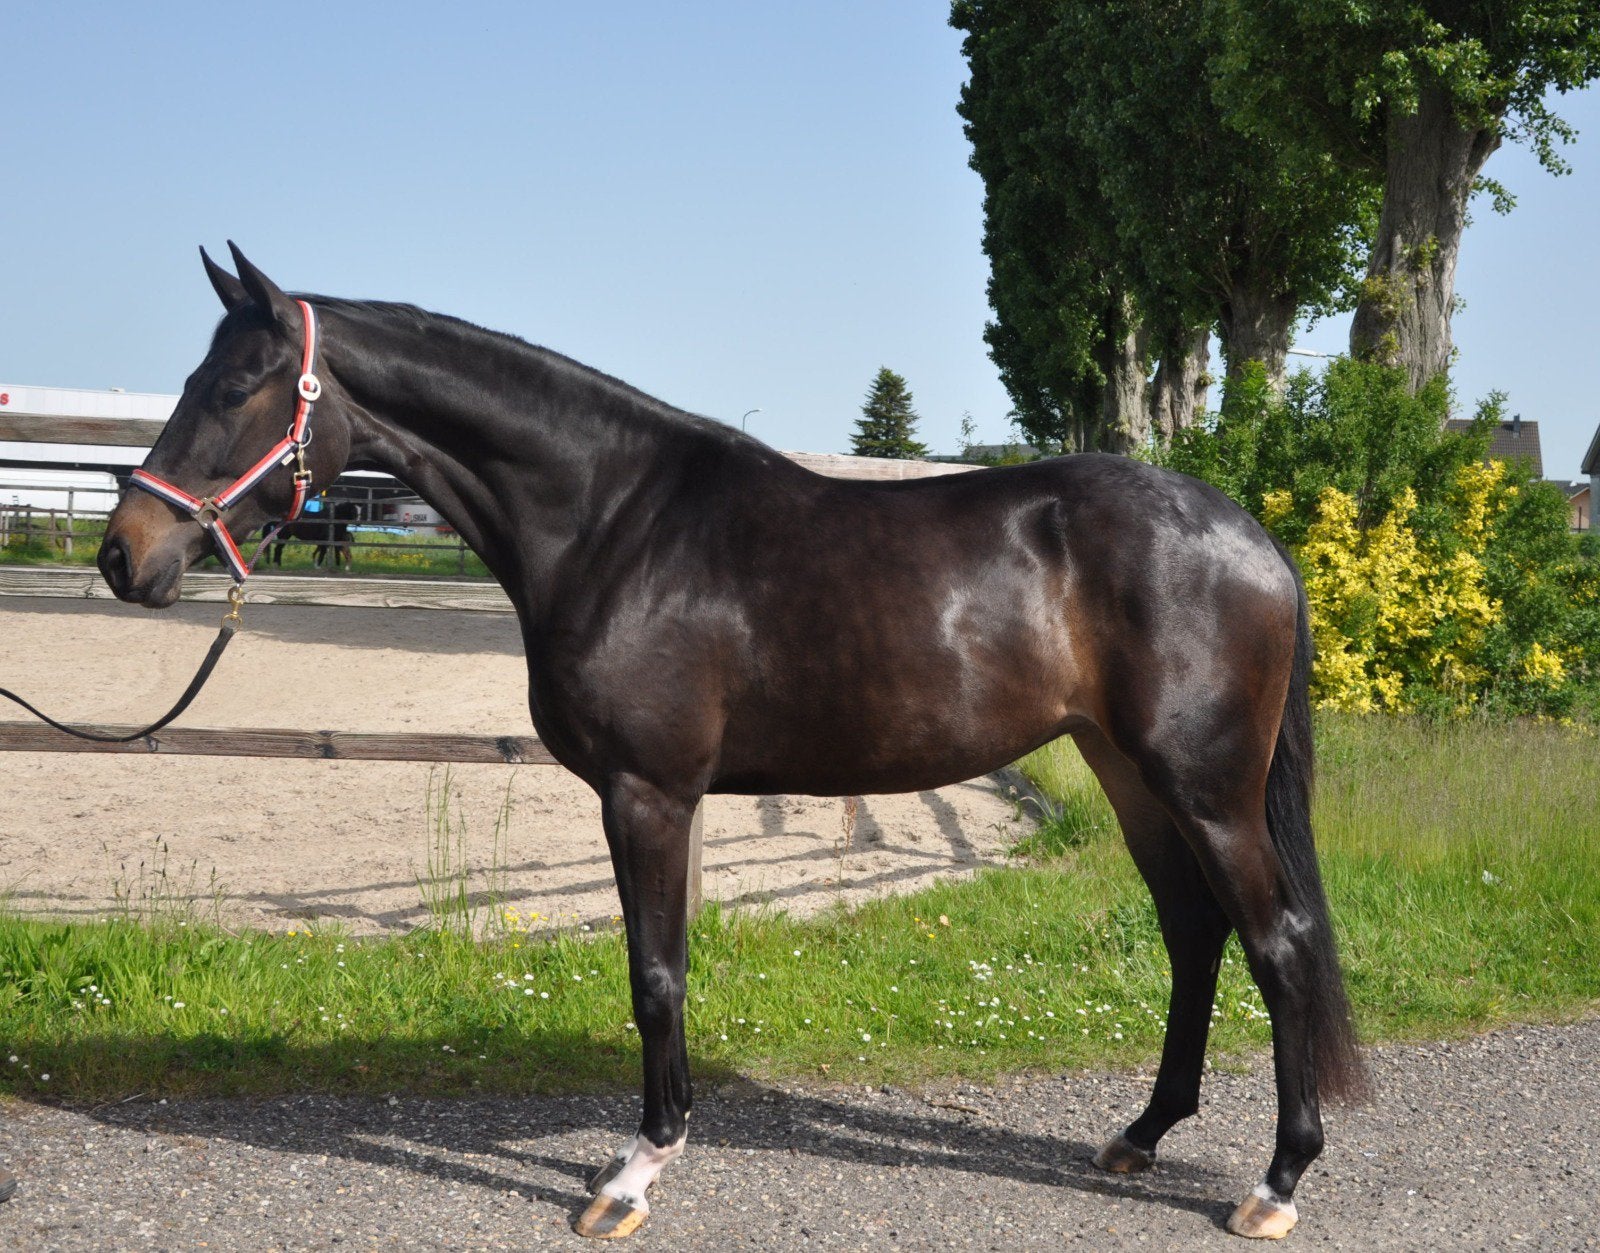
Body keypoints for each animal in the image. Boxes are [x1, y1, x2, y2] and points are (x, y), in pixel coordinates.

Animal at [99, 245, 1364, 1242]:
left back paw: (1275, 1181)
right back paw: (1141, 1132)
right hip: (1128, 772)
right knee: (1195, 934)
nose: (125, 553)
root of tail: (1253, 536)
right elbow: (662, 963)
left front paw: (634, 1170)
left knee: (1279, 939)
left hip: (1204, 786)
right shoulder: (661, 793)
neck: (617, 522)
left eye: (238, 384)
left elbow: (654, 971)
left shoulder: (648, 790)